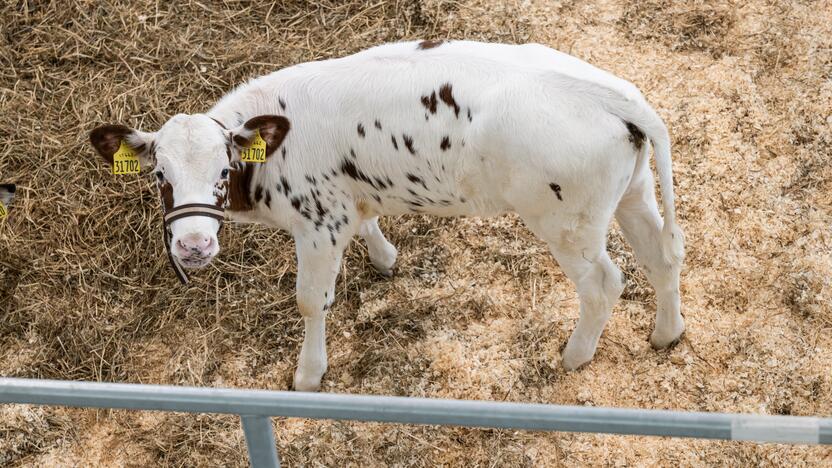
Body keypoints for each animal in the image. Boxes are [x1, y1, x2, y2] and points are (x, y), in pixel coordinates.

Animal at [92, 39, 688, 392]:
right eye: (160, 174)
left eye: (224, 169)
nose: (192, 245)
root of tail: (612, 93)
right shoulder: (349, 198)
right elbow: (369, 224)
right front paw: (384, 258)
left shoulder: (318, 222)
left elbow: (310, 302)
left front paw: (308, 375)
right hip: (632, 194)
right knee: (662, 258)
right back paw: (667, 333)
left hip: (566, 223)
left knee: (605, 284)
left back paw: (575, 356)